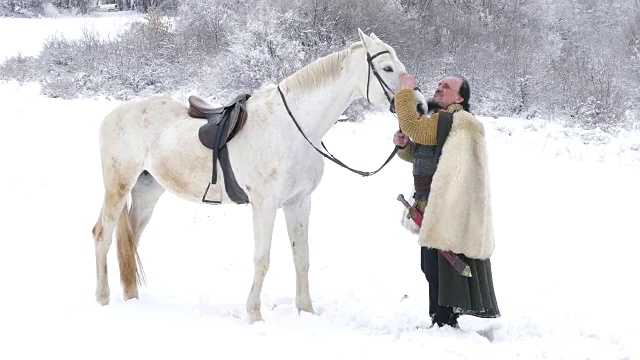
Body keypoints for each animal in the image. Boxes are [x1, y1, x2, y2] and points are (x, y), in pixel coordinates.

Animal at [91, 27, 410, 320]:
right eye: (387, 68)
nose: (416, 104)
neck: (291, 128)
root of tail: (113, 115)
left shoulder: (298, 203)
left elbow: (302, 258)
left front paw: (306, 310)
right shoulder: (264, 205)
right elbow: (262, 259)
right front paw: (254, 313)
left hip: (147, 191)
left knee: (131, 241)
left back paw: (131, 298)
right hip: (118, 187)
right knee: (102, 235)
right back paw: (103, 298)